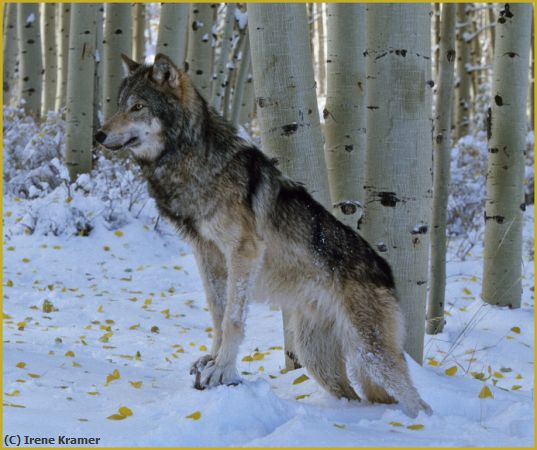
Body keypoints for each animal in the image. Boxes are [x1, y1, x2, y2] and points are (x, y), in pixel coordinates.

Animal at [95, 53, 432, 418]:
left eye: (138, 106)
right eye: (119, 105)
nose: (98, 135)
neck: (194, 160)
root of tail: (387, 274)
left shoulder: (243, 252)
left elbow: (233, 319)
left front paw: (222, 369)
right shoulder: (207, 254)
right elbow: (217, 312)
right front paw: (212, 360)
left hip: (370, 356)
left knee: (418, 401)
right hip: (316, 357)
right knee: (355, 396)